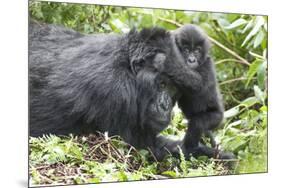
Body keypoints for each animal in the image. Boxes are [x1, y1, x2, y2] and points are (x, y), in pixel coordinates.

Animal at [171, 23, 234, 159]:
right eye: (186, 50)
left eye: (197, 51)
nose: (191, 60)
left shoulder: (206, 65)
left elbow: (197, 85)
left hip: (216, 117)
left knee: (198, 123)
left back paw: (188, 149)